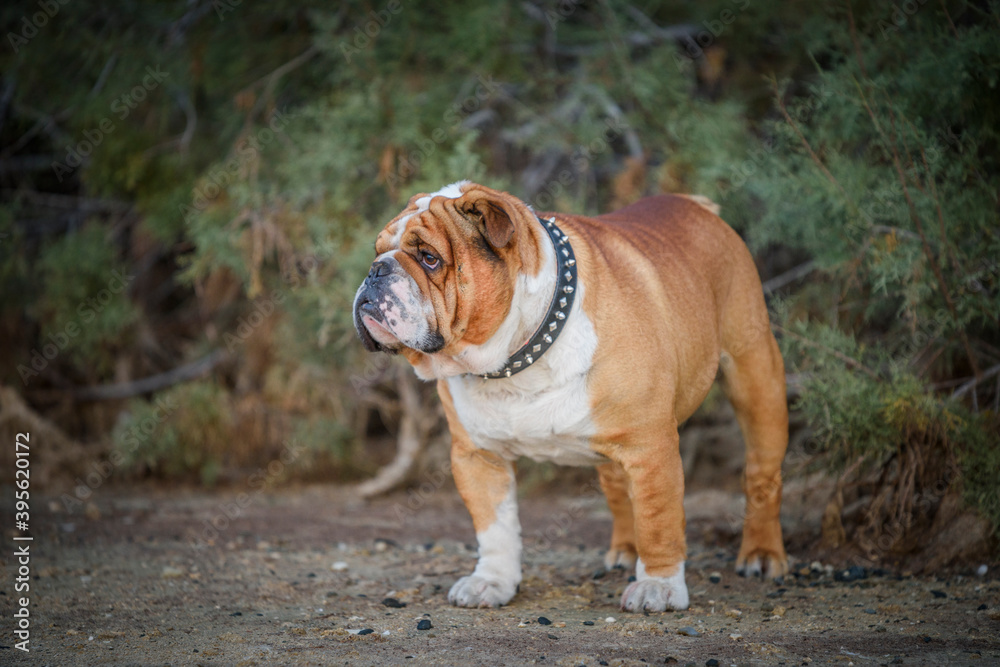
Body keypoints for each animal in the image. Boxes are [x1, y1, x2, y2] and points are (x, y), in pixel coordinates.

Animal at [352, 181, 788, 612]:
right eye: (378, 251)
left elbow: (658, 519)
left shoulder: (650, 449)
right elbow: (494, 527)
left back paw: (762, 554)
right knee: (617, 487)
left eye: (429, 258)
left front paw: (659, 586)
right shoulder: (478, 456)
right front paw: (492, 581)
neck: (517, 358)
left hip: (756, 379)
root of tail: (692, 203)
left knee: (761, 476)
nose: (375, 270)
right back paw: (625, 550)